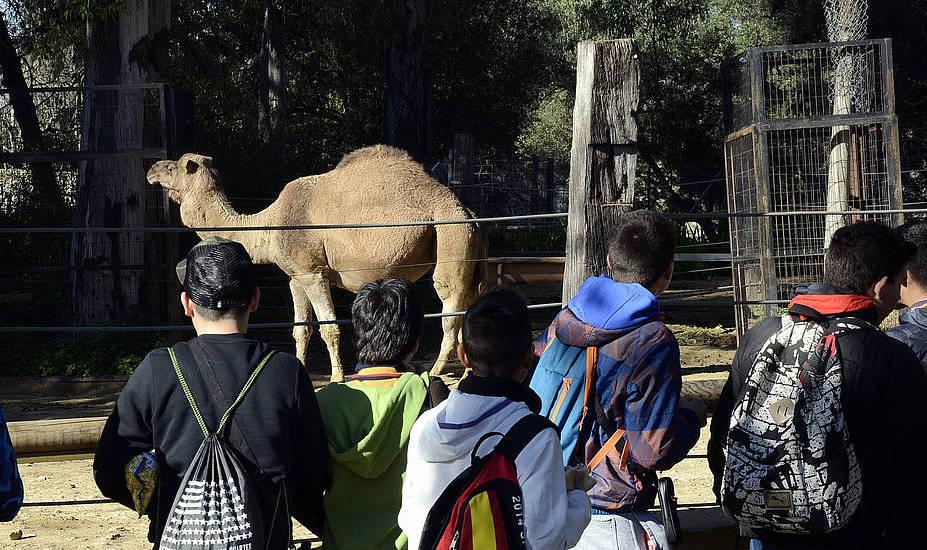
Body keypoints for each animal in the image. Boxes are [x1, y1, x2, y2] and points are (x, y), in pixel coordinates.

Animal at [147, 144, 478, 382]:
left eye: (173, 167)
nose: (151, 169)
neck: (269, 225)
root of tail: (467, 211)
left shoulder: (313, 272)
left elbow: (328, 327)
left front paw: (336, 377)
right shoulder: (295, 277)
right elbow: (300, 329)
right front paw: (301, 368)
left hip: (451, 233)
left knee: (449, 303)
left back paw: (436, 371)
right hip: (470, 246)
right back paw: (467, 369)